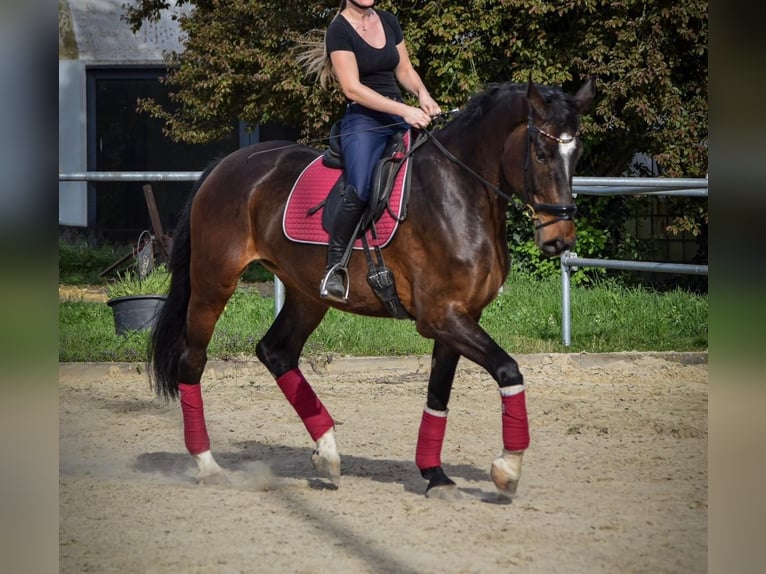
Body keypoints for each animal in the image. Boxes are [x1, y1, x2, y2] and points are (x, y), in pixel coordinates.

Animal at [148, 76, 592, 500]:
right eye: (541, 153)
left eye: (577, 154)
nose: (560, 240)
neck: (461, 191)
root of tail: (226, 165)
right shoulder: (441, 317)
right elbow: (507, 369)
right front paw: (507, 468)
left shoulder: (459, 317)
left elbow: (438, 394)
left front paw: (435, 476)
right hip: (214, 282)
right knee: (192, 360)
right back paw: (208, 465)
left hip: (307, 295)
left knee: (276, 352)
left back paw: (327, 453)